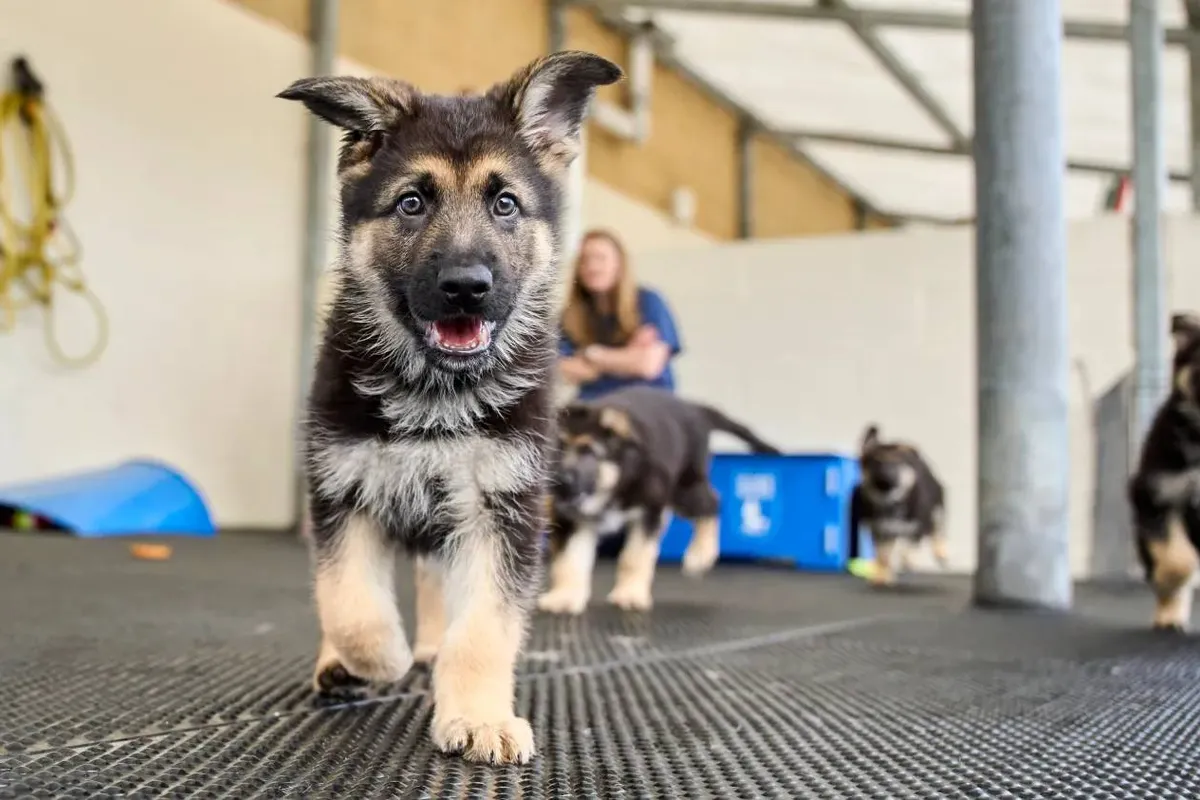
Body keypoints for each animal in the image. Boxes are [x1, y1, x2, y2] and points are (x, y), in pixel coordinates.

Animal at [278, 51, 621, 765]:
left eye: (505, 203)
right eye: (411, 203)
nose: (466, 287)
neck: (438, 392)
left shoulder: (502, 511)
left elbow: (483, 628)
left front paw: (480, 714)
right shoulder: (341, 491)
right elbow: (350, 602)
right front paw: (372, 660)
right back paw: (343, 666)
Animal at [538, 386, 781, 614]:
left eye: (588, 451)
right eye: (554, 451)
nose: (558, 482)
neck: (613, 483)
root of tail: (693, 408)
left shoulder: (648, 512)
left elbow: (635, 556)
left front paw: (631, 594)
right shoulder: (571, 519)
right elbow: (569, 560)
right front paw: (565, 596)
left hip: (684, 489)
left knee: (712, 503)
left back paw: (700, 554)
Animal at [849, 424, 947, 586]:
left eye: (897, 463)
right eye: (876, 461)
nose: (885, 476)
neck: (890, 502)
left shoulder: (918, 526)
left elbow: (909, 548)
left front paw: (908, 562)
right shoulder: (880, 531)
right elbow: (883, 556)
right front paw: (882, 576)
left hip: (938, 505)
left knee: (938, 530)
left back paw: (941, 553)